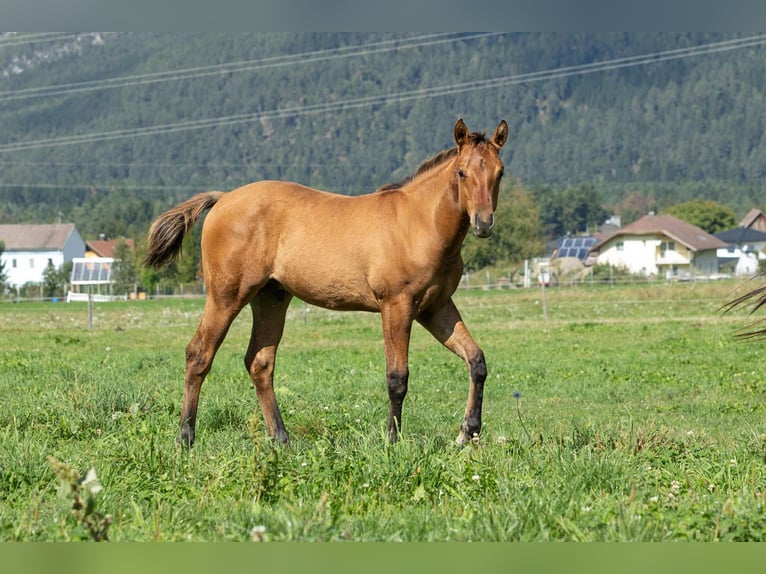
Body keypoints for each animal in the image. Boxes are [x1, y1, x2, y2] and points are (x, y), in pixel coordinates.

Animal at [144, 118, 508, 447]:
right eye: (461, 172)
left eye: (500, 172)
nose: (483, 224)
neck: (419, 223)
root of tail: (222, 199)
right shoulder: (397, 305)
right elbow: (397, 378)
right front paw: (392, 441)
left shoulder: (435, 307)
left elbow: (476, 361)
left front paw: (468, 433)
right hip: (225, 297)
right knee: (199, 354)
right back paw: (185, 437)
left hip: (271, 297)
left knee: (259, 363)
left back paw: (282, 440)